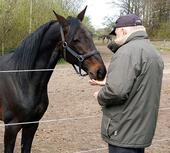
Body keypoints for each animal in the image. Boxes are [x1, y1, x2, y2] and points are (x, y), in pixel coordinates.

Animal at [0, 7, 106, 153]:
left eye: (90, 35)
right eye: (75, 39)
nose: (101, 71)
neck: (22, 80)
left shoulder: (32, 125)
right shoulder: (11, 127)